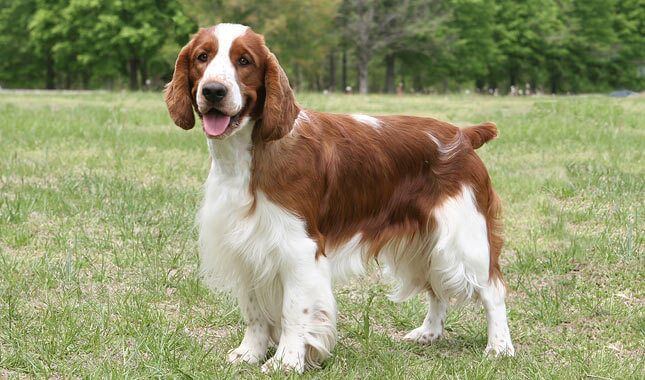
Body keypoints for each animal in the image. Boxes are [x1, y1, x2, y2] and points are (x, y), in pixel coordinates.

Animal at [165, 23, 512, 372]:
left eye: (244, 61)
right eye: (202, 57)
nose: (213, 91)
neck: (248, 155)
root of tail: (463, 135)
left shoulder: (298, 248)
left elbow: (294, 311)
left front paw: (286, 362)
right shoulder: (245, 246)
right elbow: (254, 311)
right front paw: (249, 353)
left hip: (464, 239)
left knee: (492, 289)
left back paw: (500, 347)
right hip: (424, 243)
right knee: (435, 288)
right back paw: (428, 333)